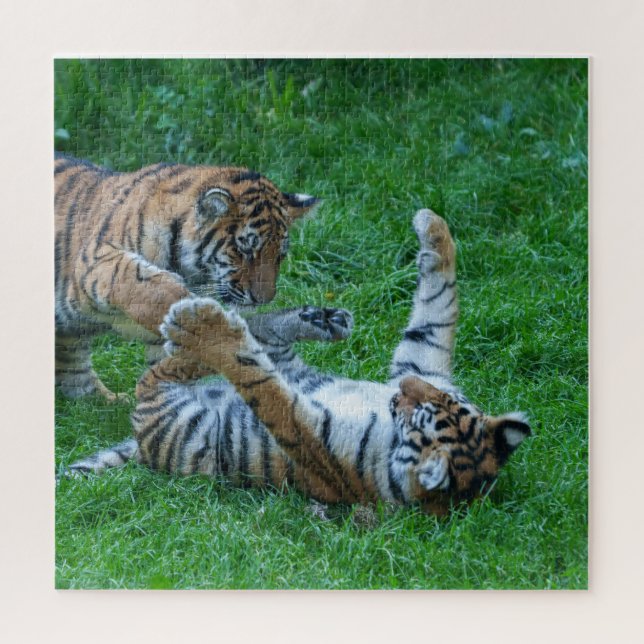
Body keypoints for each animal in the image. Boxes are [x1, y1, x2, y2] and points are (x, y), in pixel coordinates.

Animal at [68, 210, 531, 516]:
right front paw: (432, 226)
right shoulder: (425, 364)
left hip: (167, 404)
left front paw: (207, 330)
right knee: (261, 332)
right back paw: (321, 319)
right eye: (432, 399)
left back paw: (191, 320)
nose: (401, 391)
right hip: (287, 360)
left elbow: (259, 383)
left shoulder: (309, 439)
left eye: (419, 411)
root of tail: (141, 443)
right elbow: (438, 309)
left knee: (169, 366)